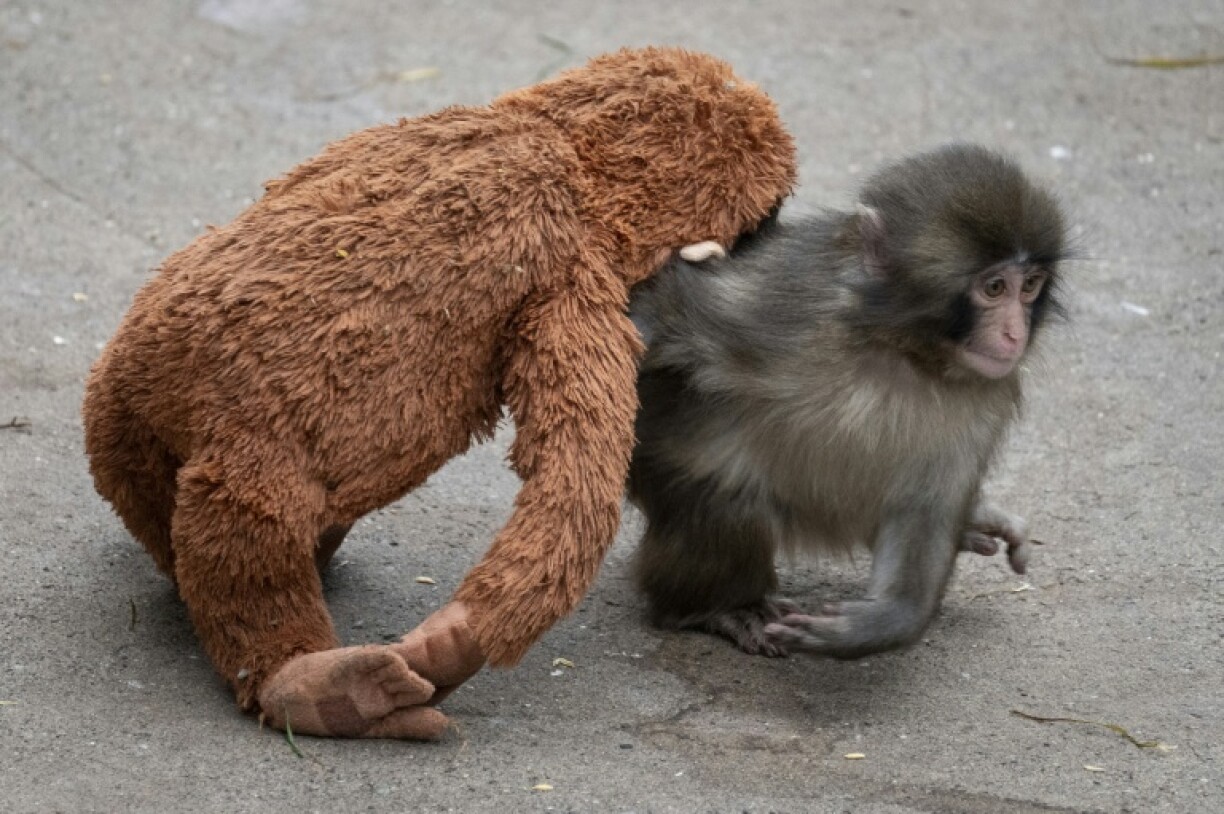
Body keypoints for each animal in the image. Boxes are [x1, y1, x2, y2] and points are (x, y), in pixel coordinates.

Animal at [626, 144, 1067, 659]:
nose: (1015, 333)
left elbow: (926, 509)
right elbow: (671, 307)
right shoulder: (780, 309)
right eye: (994, 287)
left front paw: (877, 625)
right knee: (729, 501)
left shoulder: (983, 403)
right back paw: (713, 609)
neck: (904, 352)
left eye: (1030, 285)